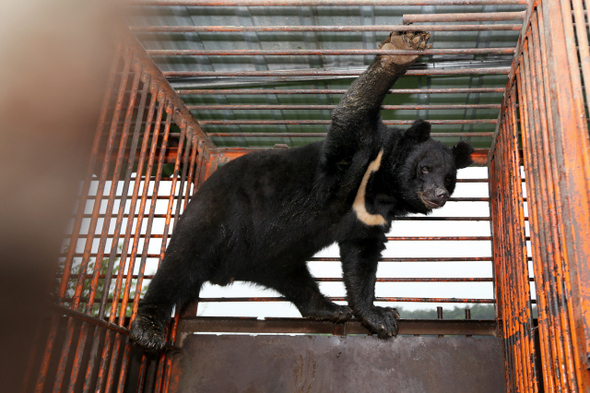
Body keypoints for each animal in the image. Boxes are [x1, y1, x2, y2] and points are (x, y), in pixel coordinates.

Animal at [131, 29, 476, 350]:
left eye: (450, 178)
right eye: (425, 168)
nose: (439, 195)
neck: (378, 186)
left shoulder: (370, 216)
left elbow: (361, 256)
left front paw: (380, 316)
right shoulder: (350, 158)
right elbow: (351, 115)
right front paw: (402, 49)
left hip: (273, 258)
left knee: (296, 281)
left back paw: (330, 309)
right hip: (218, 211)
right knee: (182, 259)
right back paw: (148, 327)